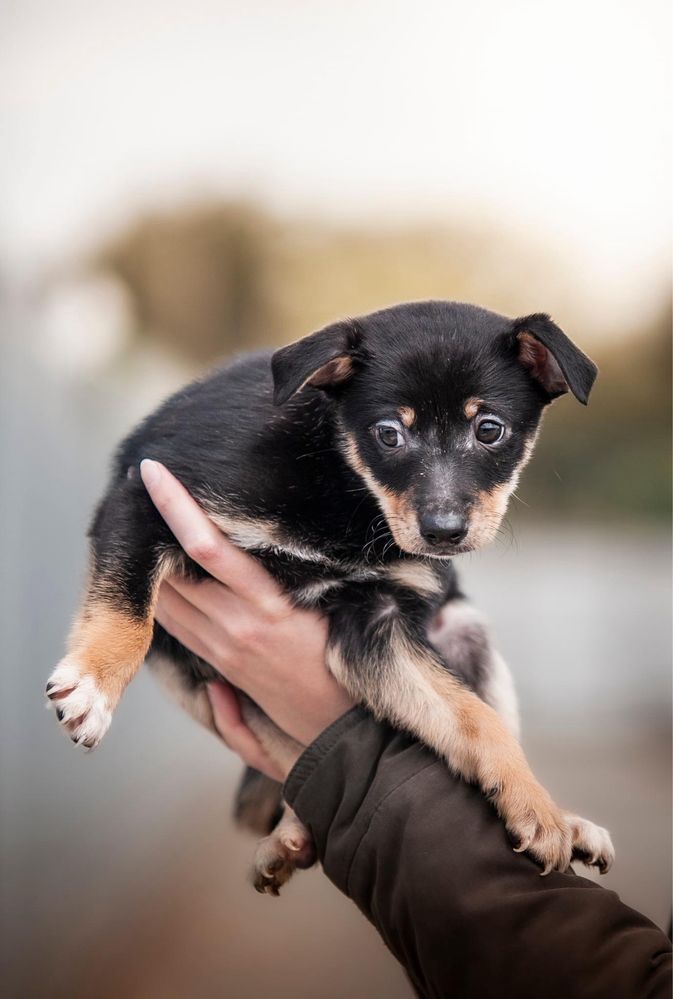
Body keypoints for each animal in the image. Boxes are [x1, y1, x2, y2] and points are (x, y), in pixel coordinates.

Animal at [46, 300, 616, 896]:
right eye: (388, 434)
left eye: (489, 429)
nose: (443, 534)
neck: (341, 481)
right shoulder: (144, 496)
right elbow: (129, 611)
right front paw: (93, 686)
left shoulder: (376, 621)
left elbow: (475, 718)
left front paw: (538, 812)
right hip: (196, 679)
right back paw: (289, 835)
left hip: (466, 632)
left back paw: (571, 822)